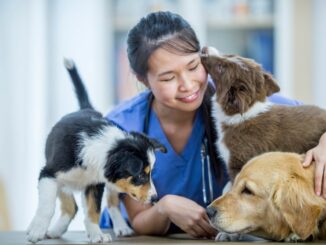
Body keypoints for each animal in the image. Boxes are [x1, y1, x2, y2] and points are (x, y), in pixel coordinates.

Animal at [26, 59, 166, 243]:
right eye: (141, 175)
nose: (155, 198)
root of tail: (84, 108)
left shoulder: (94, 184)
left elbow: (93, 210)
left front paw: (97, 234)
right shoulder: (49, 174)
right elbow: (47, 207)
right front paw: (36, 231)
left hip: (110, 184)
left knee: (110, 204)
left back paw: (122, 228)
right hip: (63, 182)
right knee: (71, 206)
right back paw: (53, 230)